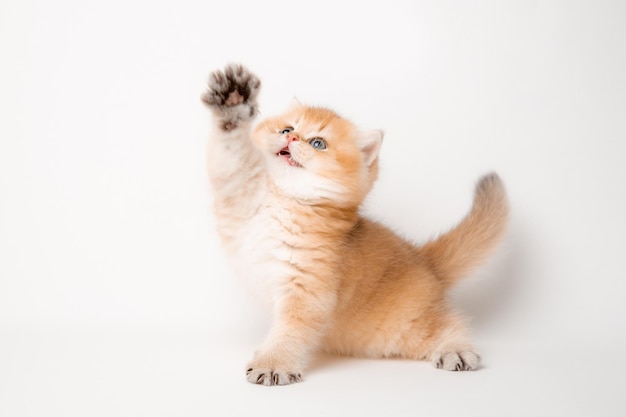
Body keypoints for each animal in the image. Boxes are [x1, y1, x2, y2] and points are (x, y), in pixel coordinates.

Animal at [200, 63, 508, 386]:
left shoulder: (308, 289)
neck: (286, 200)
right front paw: (233, 100)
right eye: (287, 129)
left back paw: (457, 350)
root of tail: (425, 260)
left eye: (318, 143)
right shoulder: (240, 191)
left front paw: (273, 363)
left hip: (406, 326)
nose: (292, 139)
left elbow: (290, 331)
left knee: (450, 323)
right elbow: (231, 154)